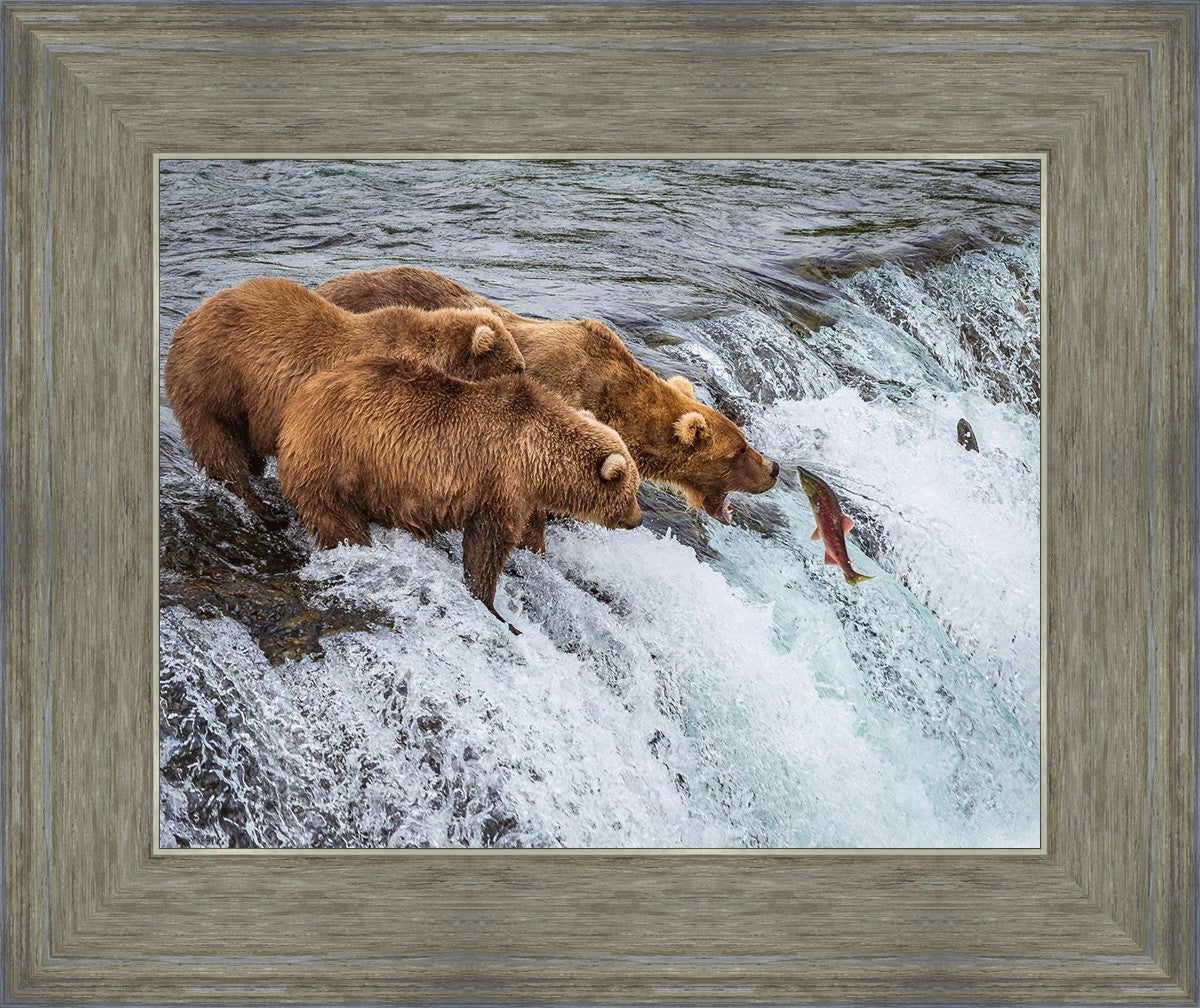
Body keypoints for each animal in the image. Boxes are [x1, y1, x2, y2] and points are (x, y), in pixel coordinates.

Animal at [163, 276, 525, 520]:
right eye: (517, 367)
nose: (527, 381)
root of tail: (187, 321)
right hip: (213, 382)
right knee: (219, 446)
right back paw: (259, 505)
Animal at [275, 353, 643, 632]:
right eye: (632, 490)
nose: (637, 519)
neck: (540, 458)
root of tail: (297, 405)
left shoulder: (524, 494)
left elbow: (528, 533)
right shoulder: (501, 481)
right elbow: (487, 545)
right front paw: (494, 607)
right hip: (337, 462)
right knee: (338, 521)